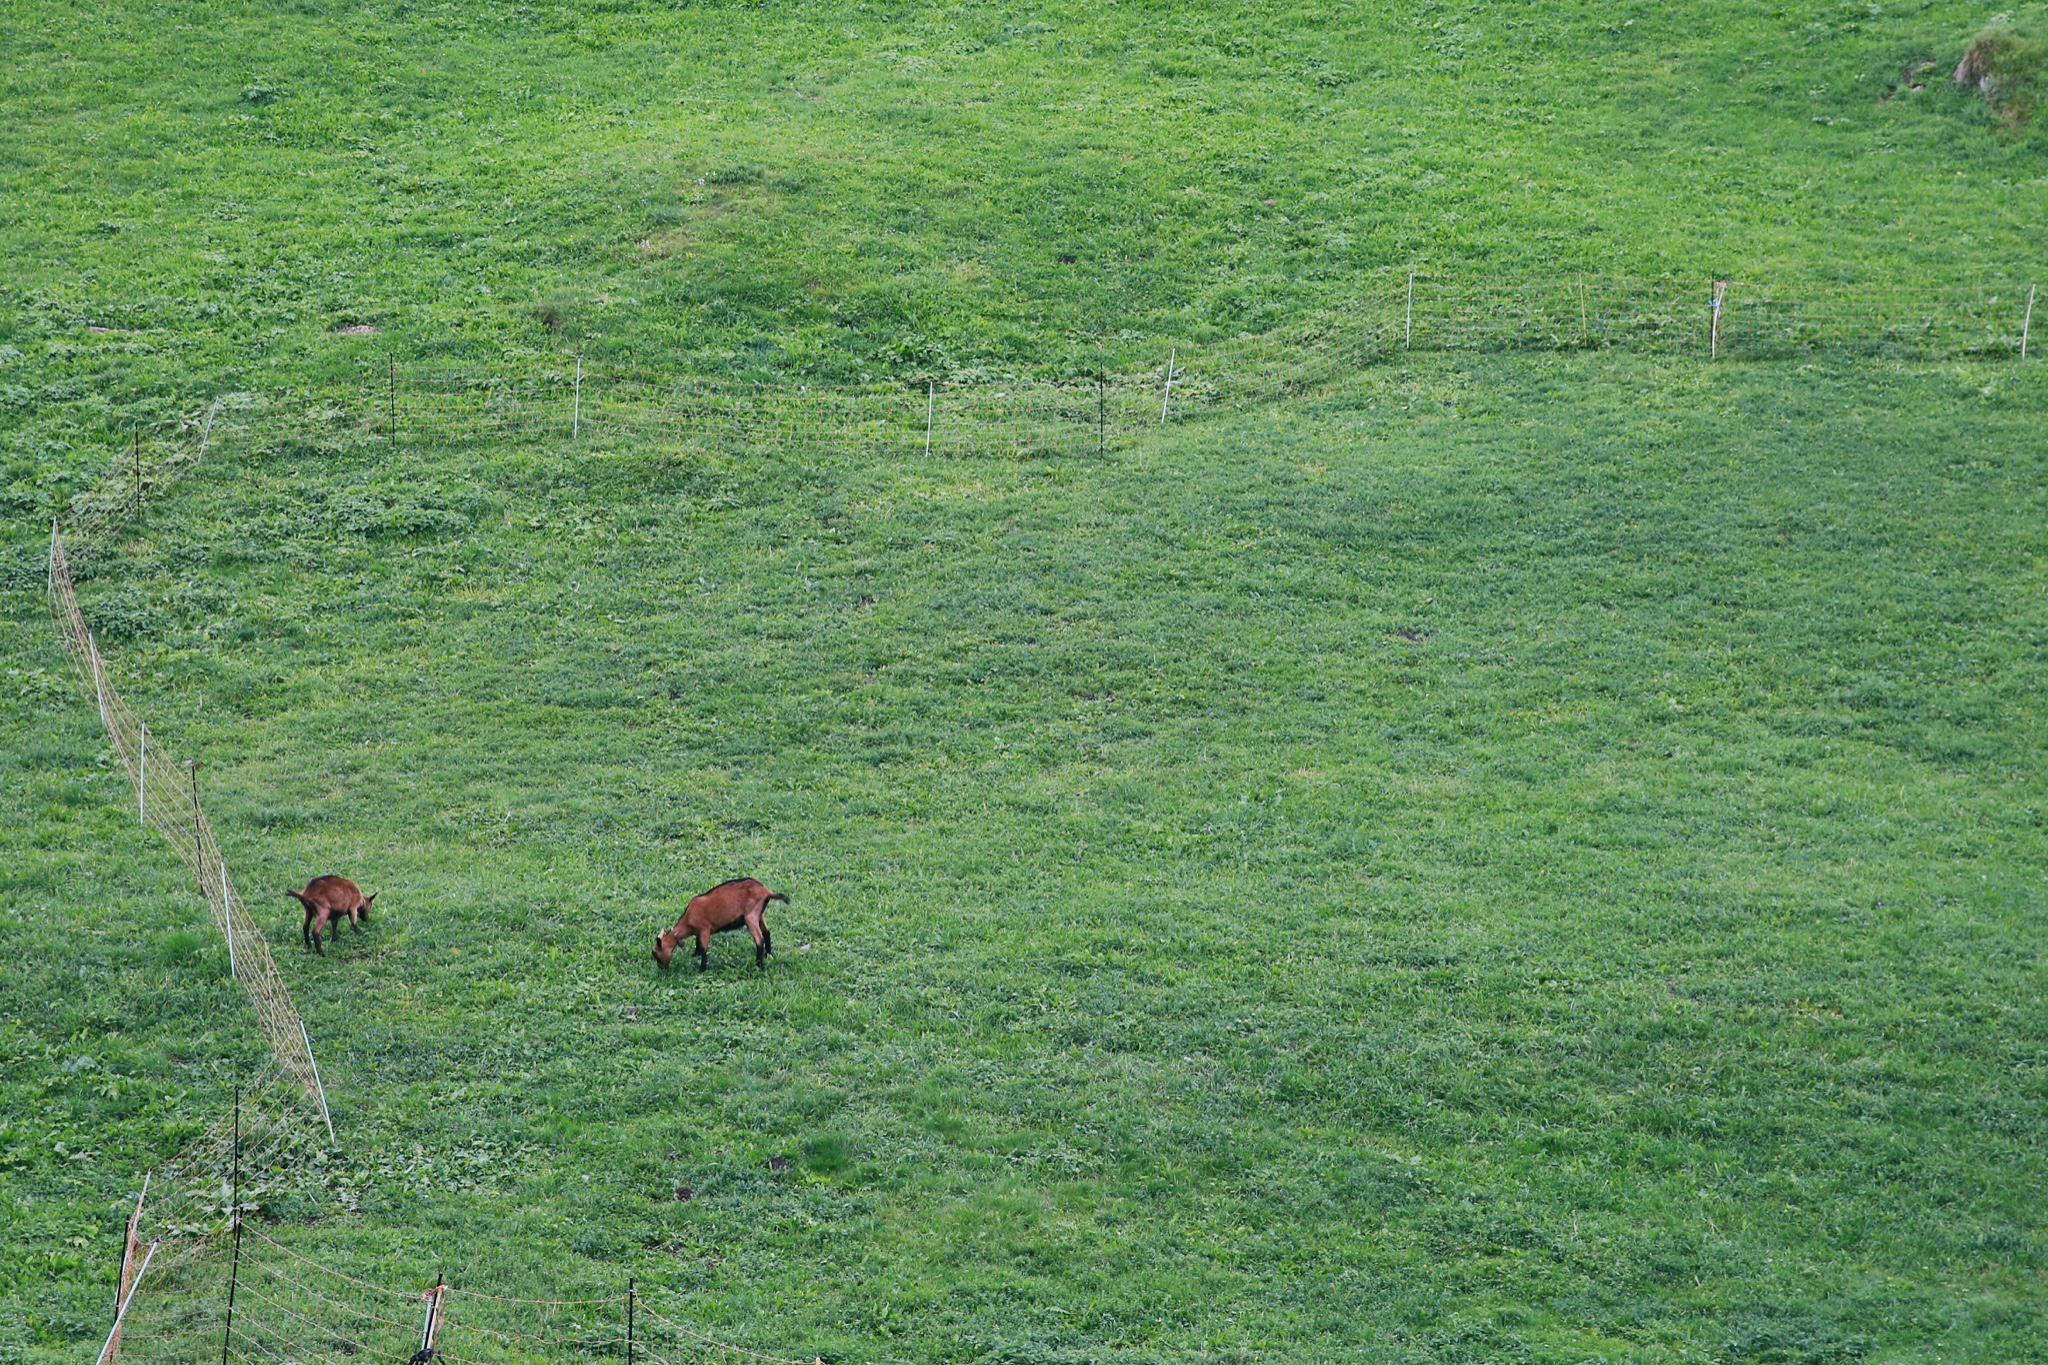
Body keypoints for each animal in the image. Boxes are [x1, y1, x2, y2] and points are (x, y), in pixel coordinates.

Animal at [651, 879, 786, 978]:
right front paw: (694, 955)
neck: (688, 919)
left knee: (759, 940)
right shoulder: (699, 931)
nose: (661, 968)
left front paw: (701, 969)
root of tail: (766, 891)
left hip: (751, 916)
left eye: (655, 954)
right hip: (760, 914)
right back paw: (768, 954)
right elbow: (697, 942)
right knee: (767, 933)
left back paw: (759, 965)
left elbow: (704, 948)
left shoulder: (705, 929)